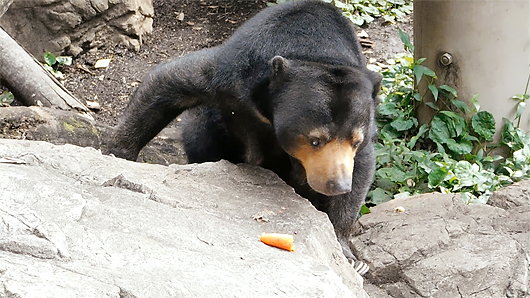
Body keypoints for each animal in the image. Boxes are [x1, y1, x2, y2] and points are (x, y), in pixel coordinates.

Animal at [106, 0, 380, 272]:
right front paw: (117, 154)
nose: (338, 185)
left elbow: (362, 167)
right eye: (315, 140)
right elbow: (169, 82)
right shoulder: (233, 74)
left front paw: (350, 257)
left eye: (356, 141)